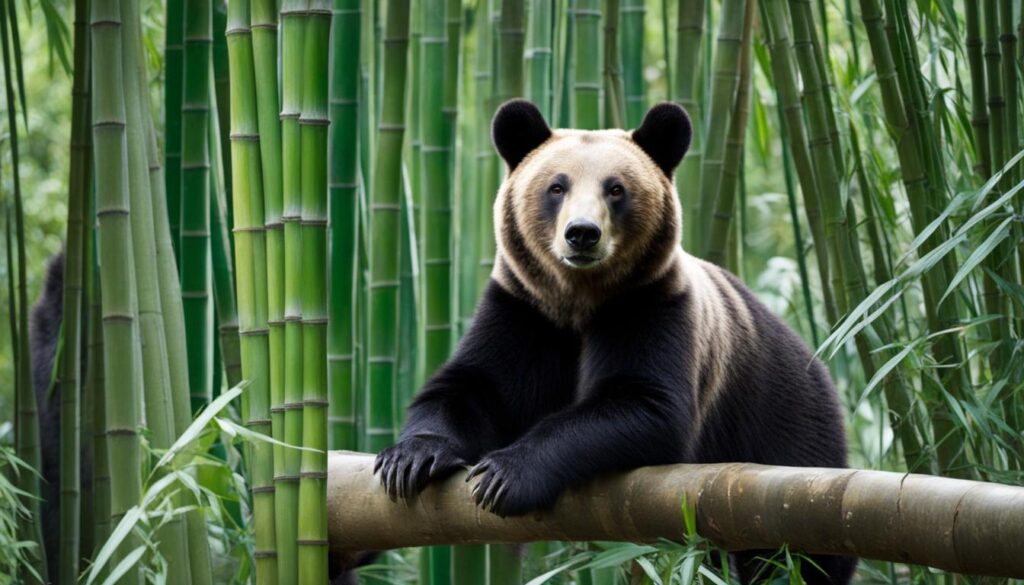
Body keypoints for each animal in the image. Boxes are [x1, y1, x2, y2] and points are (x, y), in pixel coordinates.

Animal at [374, 100, 855, 584]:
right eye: (556, 187)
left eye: (616, 190)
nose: (582, 233)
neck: (579, 298)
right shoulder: (523, 308)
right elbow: (471, 387)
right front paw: (412, 459)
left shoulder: (653, 304)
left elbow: (646, 406)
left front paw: (506, 474)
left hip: (787, 434)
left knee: (797, 555)